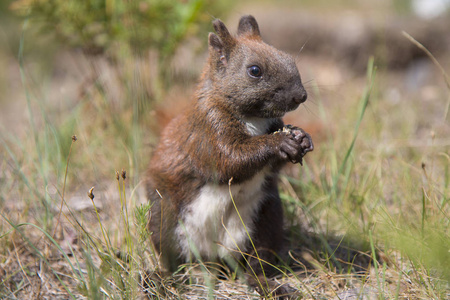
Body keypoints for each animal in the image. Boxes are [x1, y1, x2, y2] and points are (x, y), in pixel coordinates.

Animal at [147, 14, 312, 298]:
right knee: (172, 260)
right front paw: (279, 142)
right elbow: (230, 161)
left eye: (288, 57)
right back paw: (162, 279)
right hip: (164, 217)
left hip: (266, 221)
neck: (254, 119)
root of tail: (212, 258)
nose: (300, 96)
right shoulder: (207, 131)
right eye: (254, 70)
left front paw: (301, 137)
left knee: (255, 266)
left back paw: (269, 285)